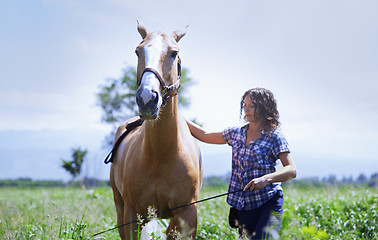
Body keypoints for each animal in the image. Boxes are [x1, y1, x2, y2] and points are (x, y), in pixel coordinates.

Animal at [108, 23, 202, 240]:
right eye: (137, 51)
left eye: (174, 53)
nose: (147, 99)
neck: (161, 153)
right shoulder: (132, 214)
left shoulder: (187, 215)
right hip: (121, 208)